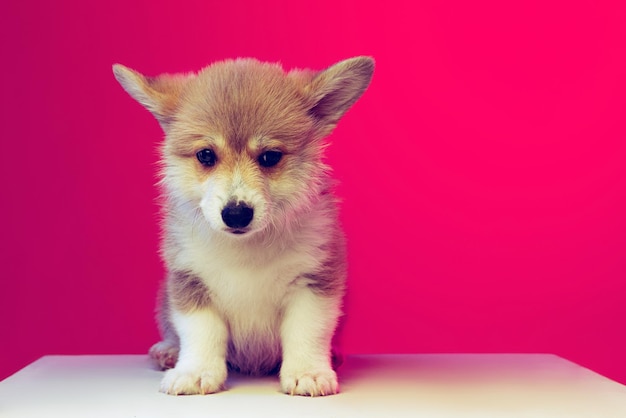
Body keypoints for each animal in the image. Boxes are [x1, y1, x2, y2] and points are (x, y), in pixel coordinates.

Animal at [112, 56, 372, 396]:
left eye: (270, 157)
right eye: (206, 155)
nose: (236, 214)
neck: (246, 248)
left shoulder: (314, 283)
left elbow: (306, 331)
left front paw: (308, 373)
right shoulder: (190, 281)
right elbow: (201, 331)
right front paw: (195, 372)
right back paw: (167, 351)